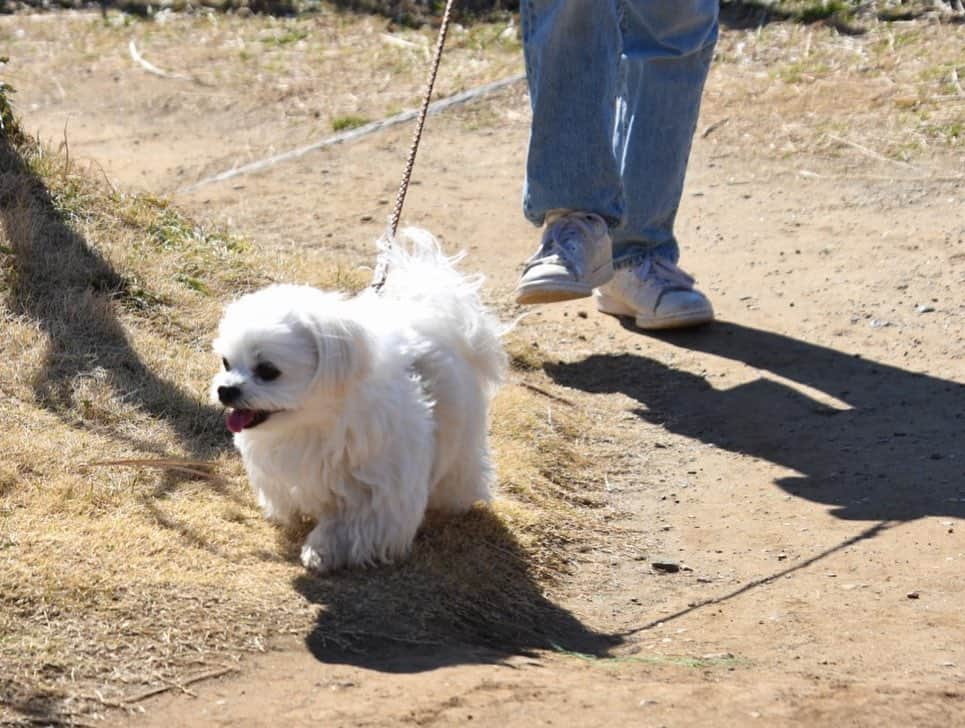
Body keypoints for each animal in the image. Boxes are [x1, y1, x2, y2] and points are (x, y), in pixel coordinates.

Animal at [210, 230, 504, 572]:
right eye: (226, 363)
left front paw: (320, 550)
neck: (314, 424)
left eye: (268, 371)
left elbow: (348, 525)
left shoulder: (378, 491)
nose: (225, 390)